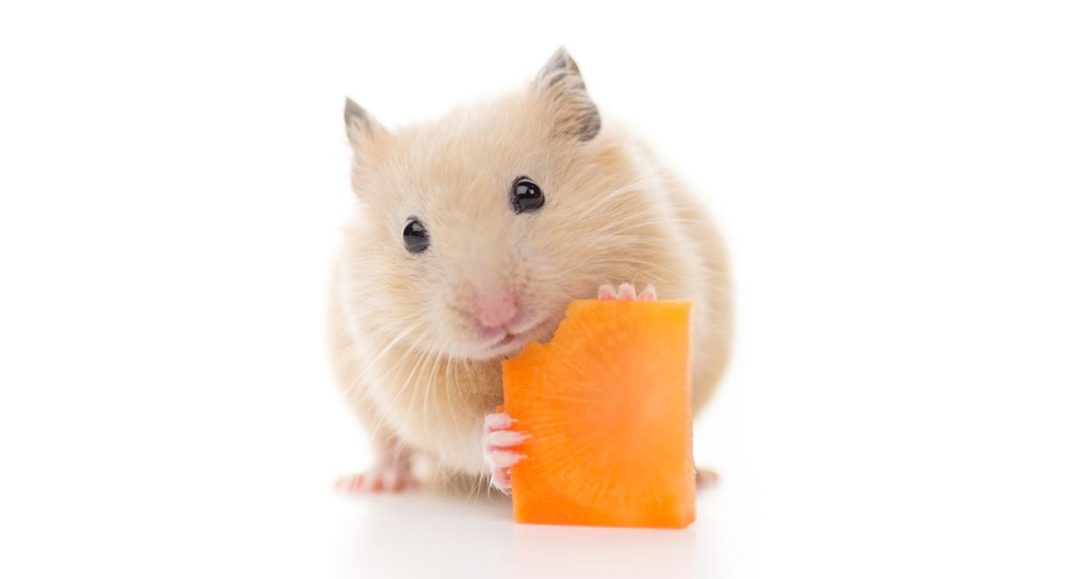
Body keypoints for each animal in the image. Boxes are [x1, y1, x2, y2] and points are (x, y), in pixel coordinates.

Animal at [330, 48, 731, 493]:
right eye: (411, 233)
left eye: (528, 192)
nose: (498, 316)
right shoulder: (402, 365)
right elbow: (455, 429)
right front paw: (502, 440)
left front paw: (622, 298)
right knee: (388, 446)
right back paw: (372, 482)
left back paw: (701, 475)